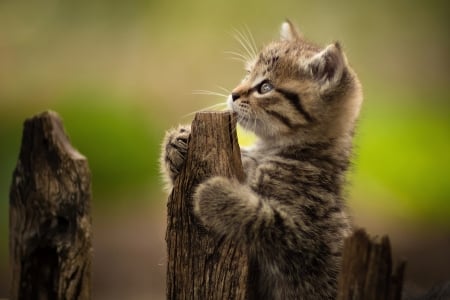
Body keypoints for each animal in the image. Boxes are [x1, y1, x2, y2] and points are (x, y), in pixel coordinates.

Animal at [160, 21, 364, 300]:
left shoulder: (306, 243)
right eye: (247, 74)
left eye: (265, 87)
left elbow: (263, 220)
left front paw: (213, 194)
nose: (233, 94)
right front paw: (177, 143)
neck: (272, 150)